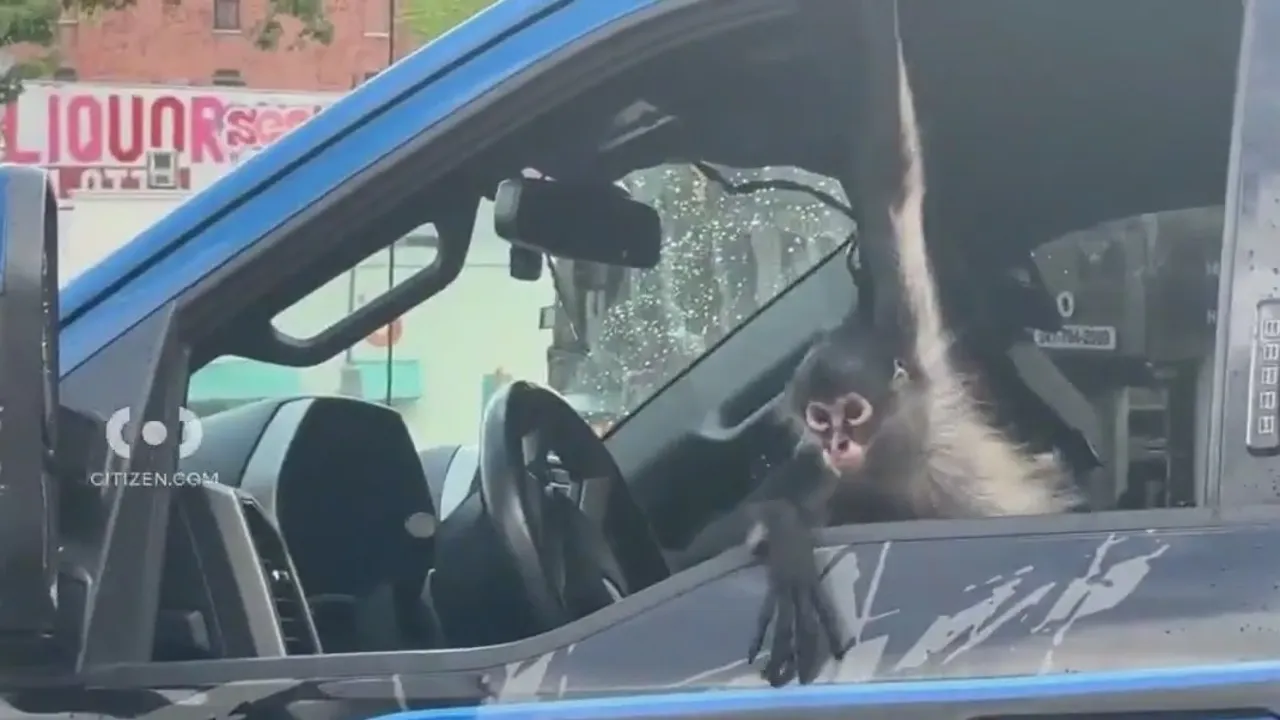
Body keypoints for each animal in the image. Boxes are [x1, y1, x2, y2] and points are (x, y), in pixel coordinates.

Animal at [680, 26, 1080, 691]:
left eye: (854, 411)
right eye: (819, 419)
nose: (839, 443)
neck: (893, 451)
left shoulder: (912, 349)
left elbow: (891, 182)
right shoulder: (828, 464)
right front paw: (784, 535)